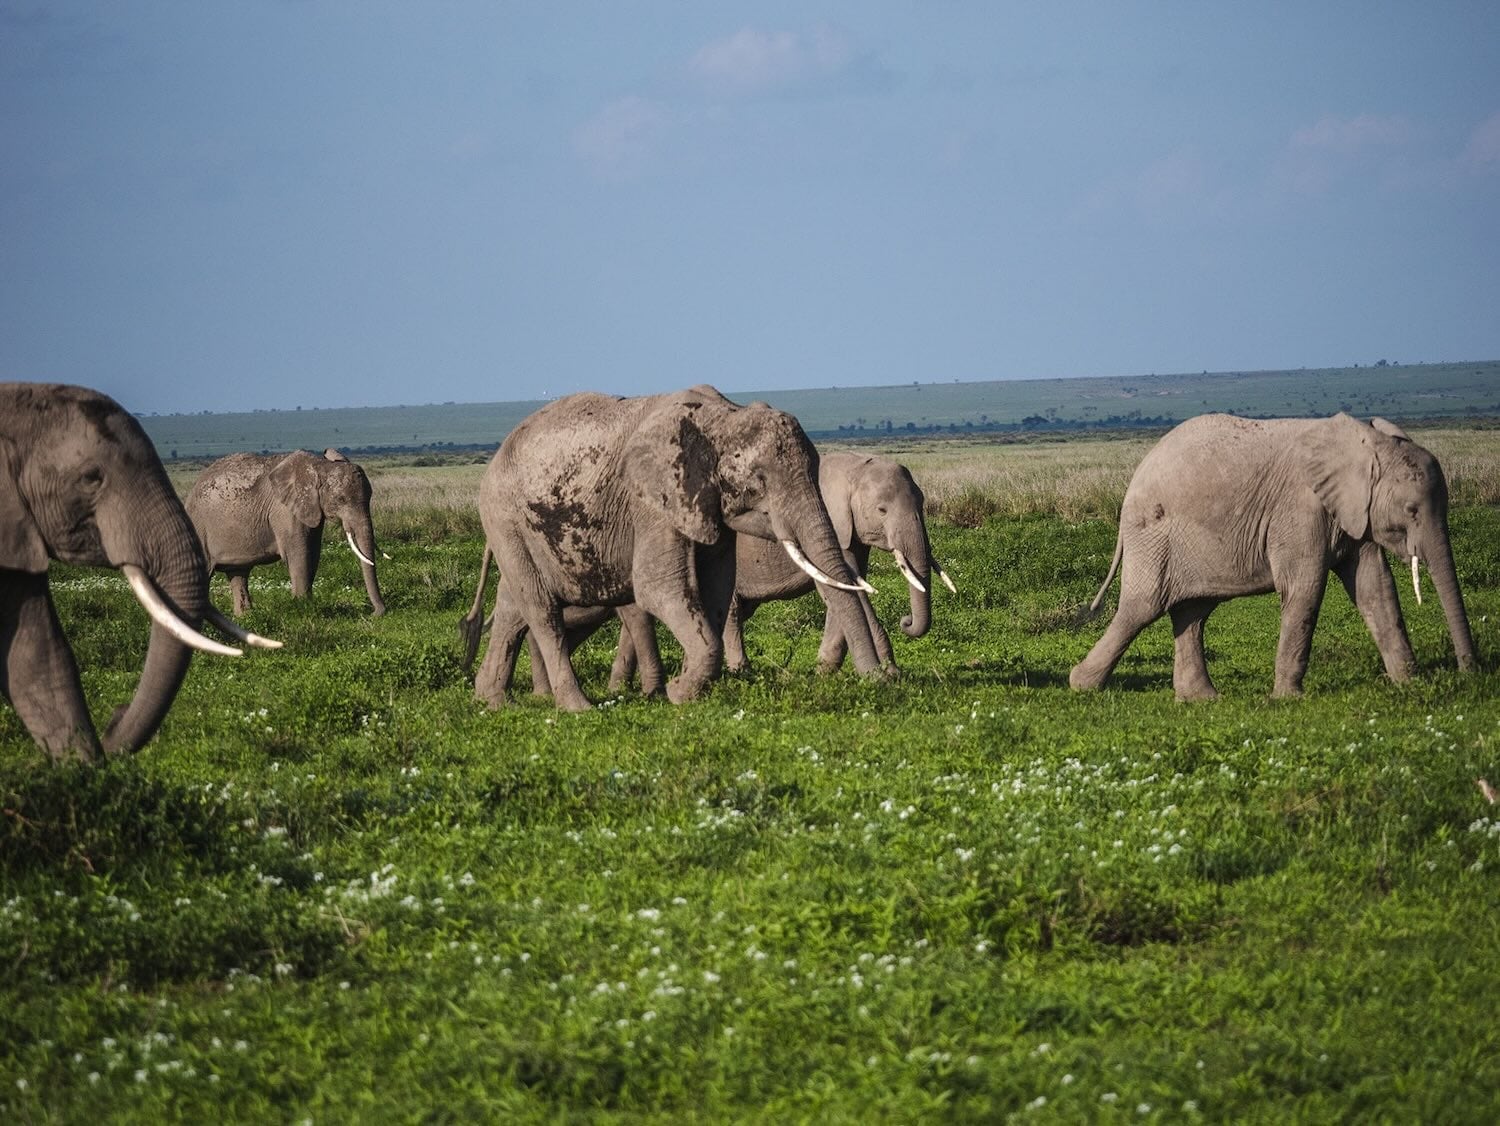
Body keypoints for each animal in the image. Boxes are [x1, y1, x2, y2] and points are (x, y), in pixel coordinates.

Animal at [186, 448, 387, 617]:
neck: (319, 467)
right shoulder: (284, 511)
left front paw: (306, 604)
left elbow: (313, 553)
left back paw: (245, 617)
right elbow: (299, 554)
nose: (375, 613)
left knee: (238, 573)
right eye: (341, 499)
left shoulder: (311, 509)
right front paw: (303, 608)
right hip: (197, 527)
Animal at [462, 385, 890, 712]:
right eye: (759, 480)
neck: (722, 418)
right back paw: (578, 708)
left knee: (512, 607)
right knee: (542, 611)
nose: (879, 681)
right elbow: (657, 587)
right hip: (503, 517)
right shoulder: (652, 500)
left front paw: (683, 687)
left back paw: (492, 701)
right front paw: (678, 693)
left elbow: (716, 591)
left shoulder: (707, 504)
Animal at [1070, 412, 1477, 699]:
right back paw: (1082, 685)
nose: (1469, 672)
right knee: (1142, 607)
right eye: (1411, 510)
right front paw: (1288, 699)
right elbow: (1304, 588)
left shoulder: (1353, 512)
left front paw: (1408, 683)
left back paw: (1202, 699)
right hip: (1153, 532)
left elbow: (1374, 587)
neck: (1366, 444)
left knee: (1193, 612)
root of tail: (1135, 477)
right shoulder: (1300, 510)